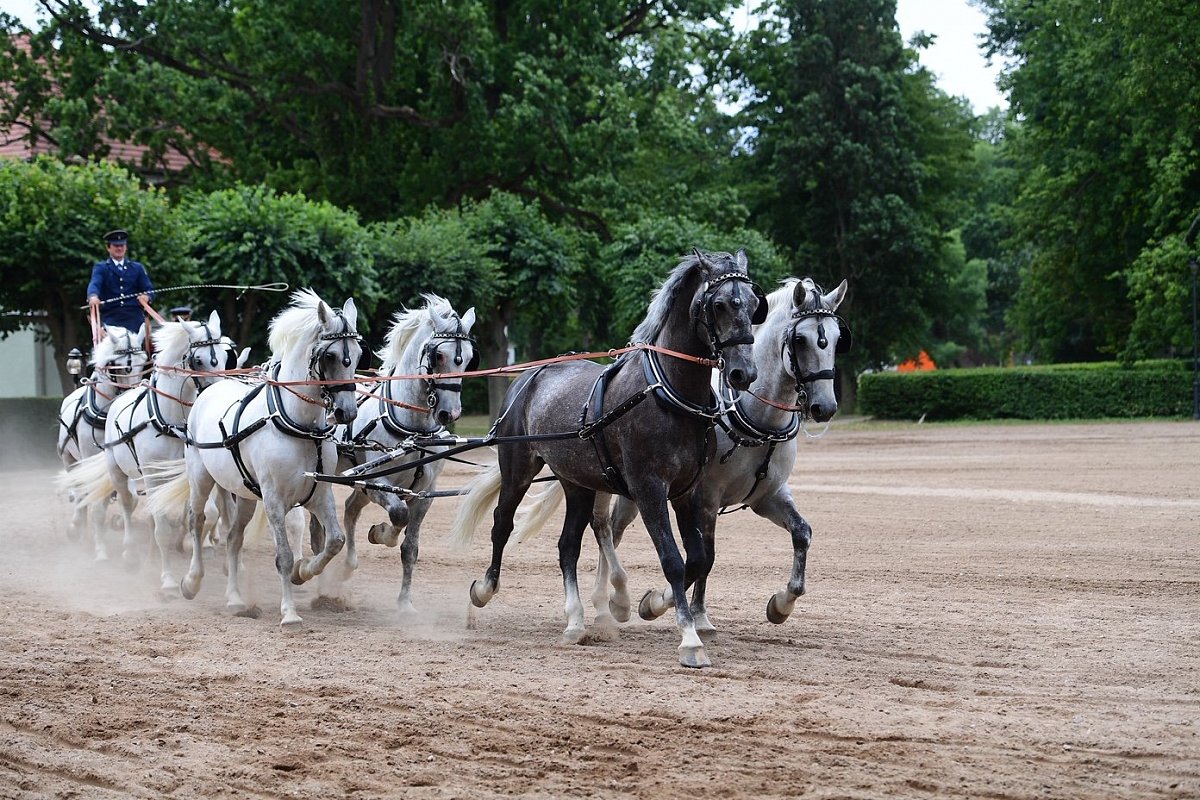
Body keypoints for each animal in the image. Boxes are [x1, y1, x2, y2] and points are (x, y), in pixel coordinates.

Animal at [55, 326, 148, 556]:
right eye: (121, 367)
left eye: (143, 362)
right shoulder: (90, 458)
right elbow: (95, 502)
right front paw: (100, 549)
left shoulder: (119, 460)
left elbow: (130, 498)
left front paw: (118, 523)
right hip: (70, 458)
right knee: (80, 489)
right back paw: (77, 525)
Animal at [145, 291, 360, 628]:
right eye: (330, 356)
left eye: (358, 354)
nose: (346, 412)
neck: (300, 427)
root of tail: (212, 387)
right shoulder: (273, 499)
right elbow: (283, 556)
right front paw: (289, 614)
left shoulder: (319, 494)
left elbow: (334, 541)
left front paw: (302, 573)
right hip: (201, 477)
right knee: (196, 520)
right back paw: (191, 582)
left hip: (245, 494)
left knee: (234, 537)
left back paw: (235, 599)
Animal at [316, 293, 480, 614]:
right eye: (437, 356)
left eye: (468, 359)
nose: (450, 413)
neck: (413, 429)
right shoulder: (379, 484)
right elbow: (398, 514)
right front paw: (381, 533)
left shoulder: (424, 493)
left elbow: (410, 548)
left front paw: (404, 603)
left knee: (351, 508)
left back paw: (347, 564)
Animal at [451, 250, 768, 671]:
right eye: (718, 305)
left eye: (752, 303)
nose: (743, 372)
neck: (668, 392)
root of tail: (530, 375)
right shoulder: (649, 489)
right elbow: (672, 559)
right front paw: (689, 640)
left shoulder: (686, 491)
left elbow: (697, 558)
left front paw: (651, 604)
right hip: (518, 468)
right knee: (502, 523)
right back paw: (485, 589)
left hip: (578, 483)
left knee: (567, 545)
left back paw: (575, 621)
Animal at [511, 278, 849, 633]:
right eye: (800, 339)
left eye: (837, 339)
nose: (824, 407)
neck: (753, 417)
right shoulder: (704, 498)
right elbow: (705, 558)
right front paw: (673, 607)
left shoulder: (768, 496)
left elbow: (802, 533)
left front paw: (781, 604)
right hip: (609, 483)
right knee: (607, 529)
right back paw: (612, 599)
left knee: (608, 530)